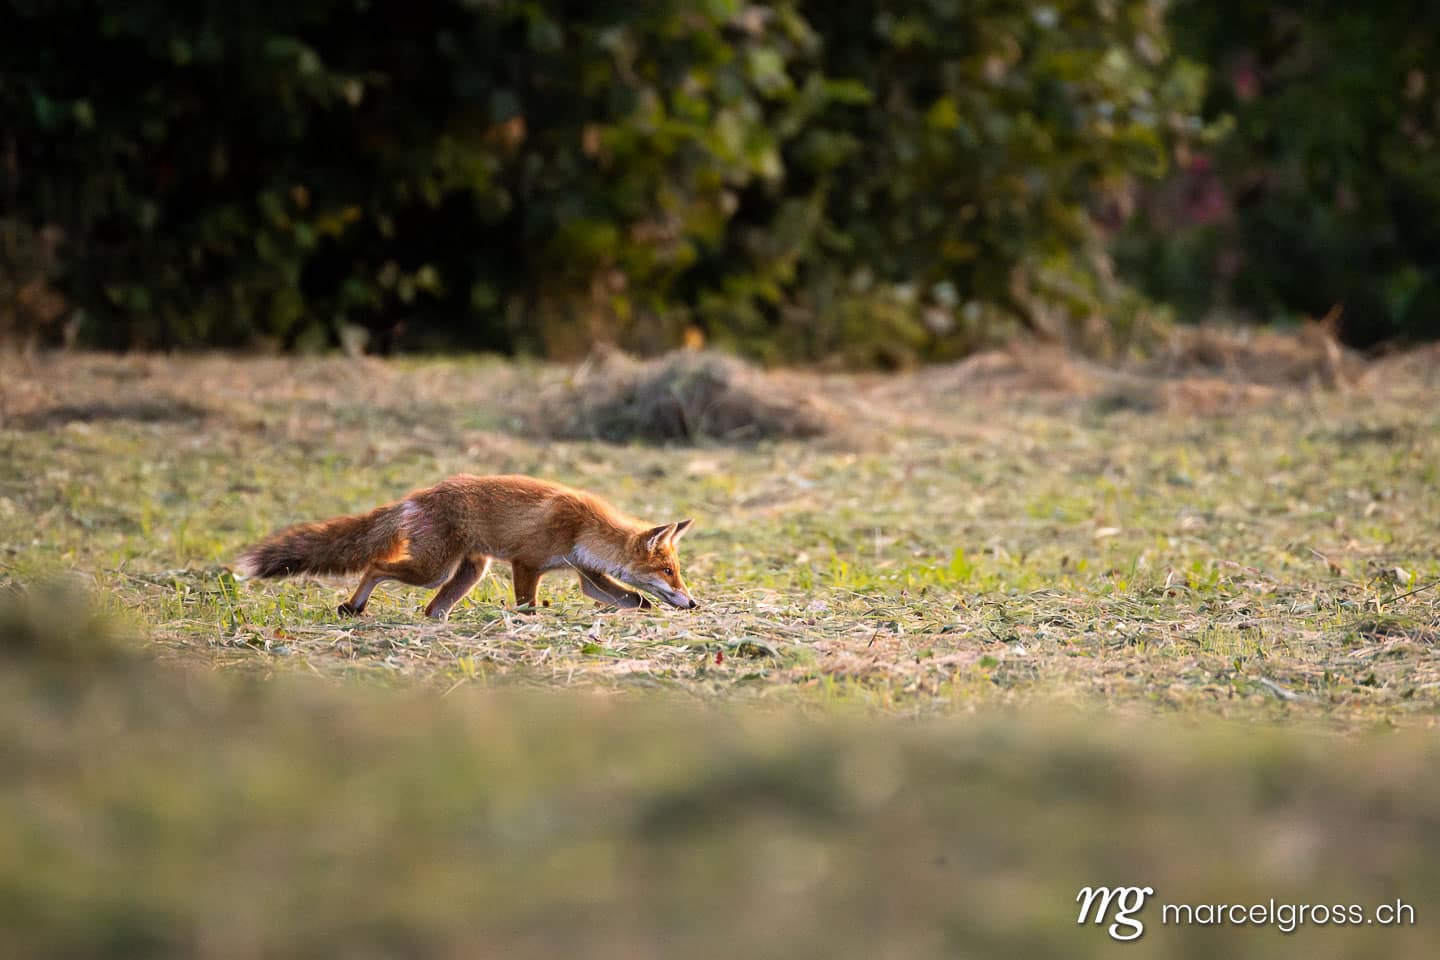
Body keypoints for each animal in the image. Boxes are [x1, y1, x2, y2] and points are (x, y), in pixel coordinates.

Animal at [235, 474, 698, 619]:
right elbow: (527, 605)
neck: (583, 528)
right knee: (376, 566)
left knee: (430, 608)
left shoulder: (587, 575)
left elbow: (636, 601)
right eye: (668, 571)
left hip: (470, 571)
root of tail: (417, 496)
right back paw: (354, 606)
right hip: (433, 570)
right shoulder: (527, 563)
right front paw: (526, 624)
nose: (693, 602)